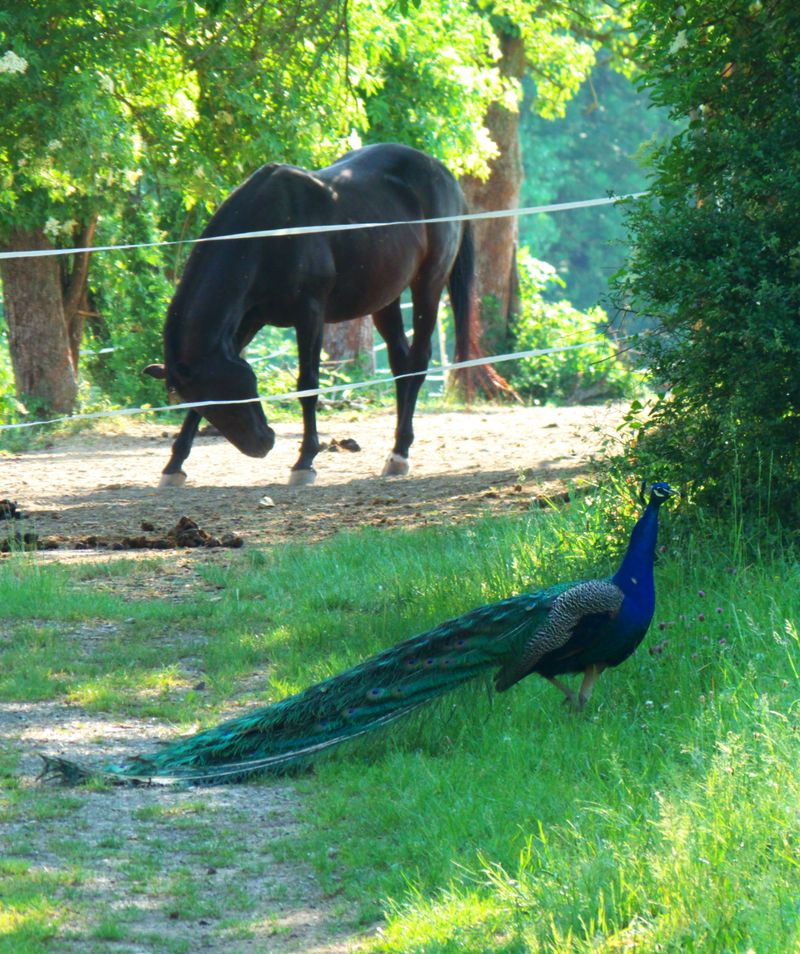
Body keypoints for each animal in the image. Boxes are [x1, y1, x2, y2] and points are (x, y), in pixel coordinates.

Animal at [144, 143, 472, 484]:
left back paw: (401, 453)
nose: (263, 444)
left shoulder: (310, 315)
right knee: (401, 364)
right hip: (386, 298)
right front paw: (174, 465)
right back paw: (396, 450)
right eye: (207, 401)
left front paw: (305, 461)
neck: (270, 232)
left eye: (233, 391)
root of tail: (446, 176)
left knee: (418, 362)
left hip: (428, 285)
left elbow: (308, 384)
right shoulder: (249, 320)